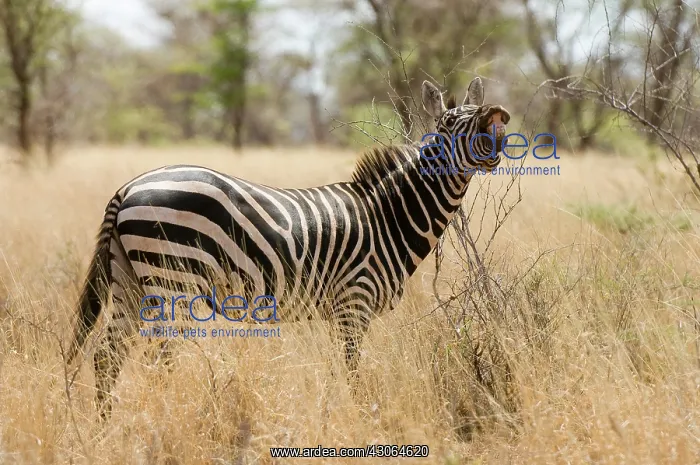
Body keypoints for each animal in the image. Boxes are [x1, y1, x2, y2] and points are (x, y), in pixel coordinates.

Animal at [66, 77, 511, 419]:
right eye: (449, 123)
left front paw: (333, 413)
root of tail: (128, 187)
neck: (389, 217)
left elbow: (336, 372)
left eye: (475, 113)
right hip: (172, 281)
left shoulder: (339, 312)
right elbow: (352, 372)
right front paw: (359, 417)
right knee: (160, 357)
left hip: (130, 282)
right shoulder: (354, 301)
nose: (496, 115)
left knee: (106, 356)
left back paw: (105, 426)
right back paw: (169, 414)